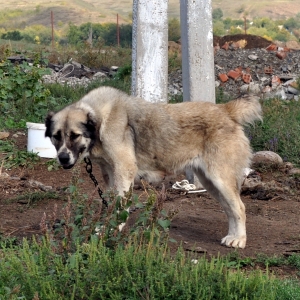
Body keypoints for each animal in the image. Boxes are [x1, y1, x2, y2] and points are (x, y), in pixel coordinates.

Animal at [45, 85, 262, 248]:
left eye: (75, 135)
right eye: (56, 136)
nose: (62, 158)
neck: (100, 120)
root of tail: (226, 110)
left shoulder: (124, 171)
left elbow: (119, 207)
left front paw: (113, 230)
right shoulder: (110, 174)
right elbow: (110, 205)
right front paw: (104, 228)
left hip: (220, 179)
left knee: (239, 207)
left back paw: (239, 240)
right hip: (210, 182)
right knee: (230, 209)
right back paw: (233, 236)